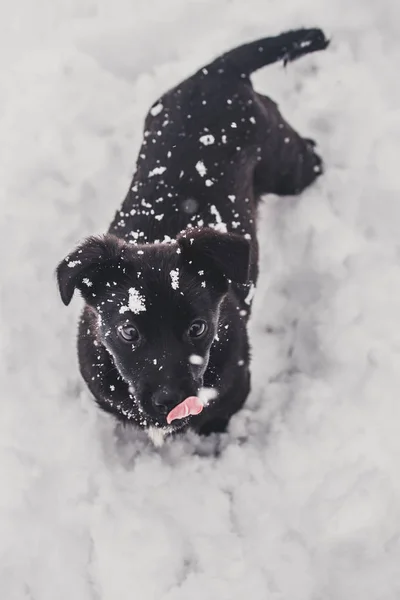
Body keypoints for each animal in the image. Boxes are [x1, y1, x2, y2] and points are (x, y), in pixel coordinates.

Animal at [57, 28, 332, 442]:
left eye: (198, 327)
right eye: (128, 331)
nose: (170, 401)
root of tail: (217, 71)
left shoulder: (235, 386)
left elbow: (214, 421)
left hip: (286, 165)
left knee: (311, 157)